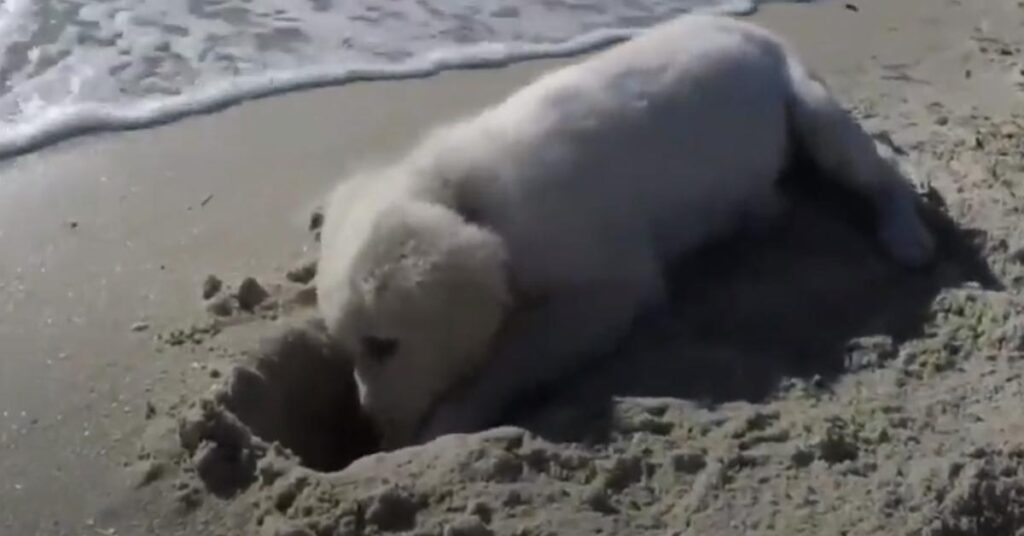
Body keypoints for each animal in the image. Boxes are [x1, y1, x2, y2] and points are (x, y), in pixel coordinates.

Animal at [317, 13, 937, 448]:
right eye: (350, 349)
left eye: (384, 345)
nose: (372, 427)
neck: (474, 202)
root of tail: (752, 30)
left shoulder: (609, 292)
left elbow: (509, 356)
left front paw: (445, 424)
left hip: (812, 108)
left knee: (883, 171)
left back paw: (906, 235)